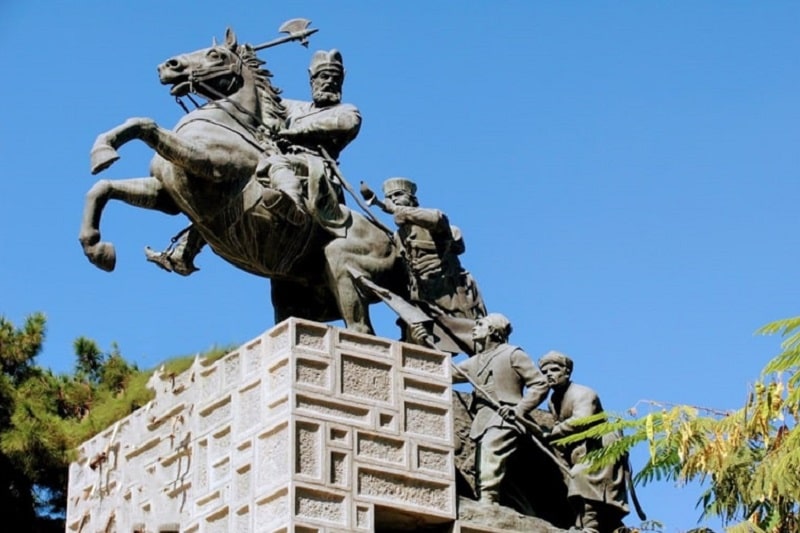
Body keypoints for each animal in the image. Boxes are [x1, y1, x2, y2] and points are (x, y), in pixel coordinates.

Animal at [79, 29, 404, 332]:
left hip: (344, 268)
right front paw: (98, 249)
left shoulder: (207, 162)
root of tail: (395, 244)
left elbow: (146, 125)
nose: (168, 66)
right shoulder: (166, 195)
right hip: (292, 292)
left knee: (361, 327)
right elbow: (103, 187)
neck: (226, 121)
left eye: (216, 54)